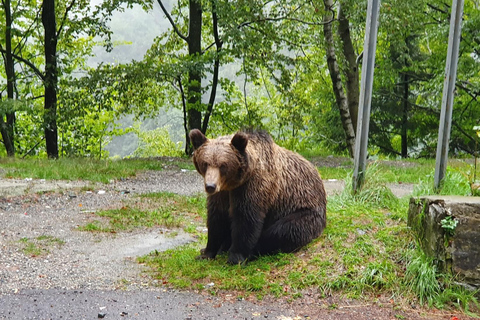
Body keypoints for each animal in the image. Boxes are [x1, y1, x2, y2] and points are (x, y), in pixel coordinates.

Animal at [189, 128, 328, 264]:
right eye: (205, 163)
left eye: (223, 165)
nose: (210, 186)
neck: (232, 184)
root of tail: (318, 176)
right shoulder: (222, 194)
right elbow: (217, 218)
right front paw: (206, 253)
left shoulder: (253, 186)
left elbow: (246, 219)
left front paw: (236, 257)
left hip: (303, 209)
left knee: (283, 231)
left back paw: (252, 251)